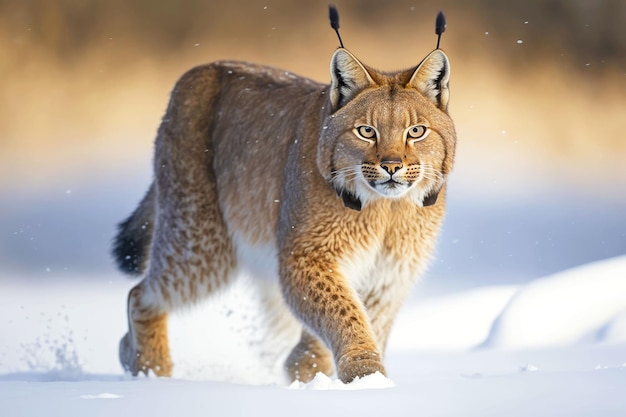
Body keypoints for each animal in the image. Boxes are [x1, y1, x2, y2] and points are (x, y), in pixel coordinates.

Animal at [112, 7, 454, 384]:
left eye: (416, 131)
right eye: (366, 131)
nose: (391, 166)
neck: (387, 209)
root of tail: (200, 69)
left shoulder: (389, 274)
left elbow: (357, 316)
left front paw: (312, 371)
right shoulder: (305, 253)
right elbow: (343, 312)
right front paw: (364, 374)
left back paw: (131, 356)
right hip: (201, 238)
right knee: (140, 292)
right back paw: (150, 370)